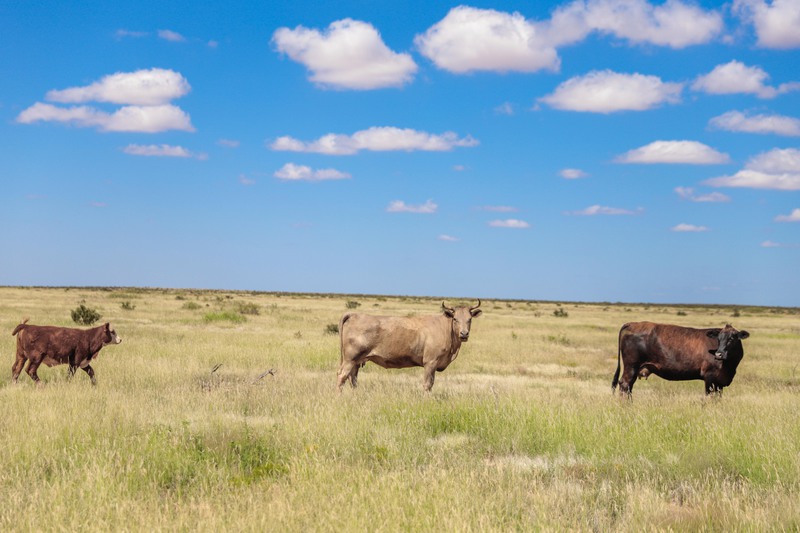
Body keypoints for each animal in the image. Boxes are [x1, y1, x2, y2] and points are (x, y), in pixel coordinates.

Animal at [338, 300, 482, 390]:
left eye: (469, 319)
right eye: (455, 319)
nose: (464, 334)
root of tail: (354, 314)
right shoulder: (430, 363)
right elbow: (428, 384)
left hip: (357, 361)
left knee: (353, 379)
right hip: (350, 359)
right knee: (342, 377)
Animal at [612, 320, 752, 394]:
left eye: (732, 338)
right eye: (718, 338)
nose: (719, 354)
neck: (729, 367)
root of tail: (633, 323)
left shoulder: (719, 382)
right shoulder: (710, 377)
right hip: (631, 366)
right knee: (625, 384)